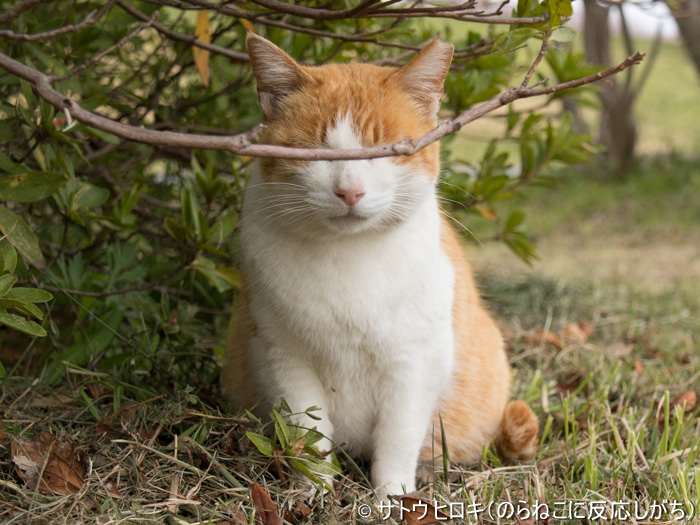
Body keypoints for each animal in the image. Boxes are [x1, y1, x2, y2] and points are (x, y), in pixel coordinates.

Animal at [221, 32, 540, 500]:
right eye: (317, 153)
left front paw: (391, 498)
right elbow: (308, 436)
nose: (349, 191)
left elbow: (397, 439)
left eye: (385, 151)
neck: (348, 258)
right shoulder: (284, 358)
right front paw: (314, 495)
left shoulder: (415, 363)